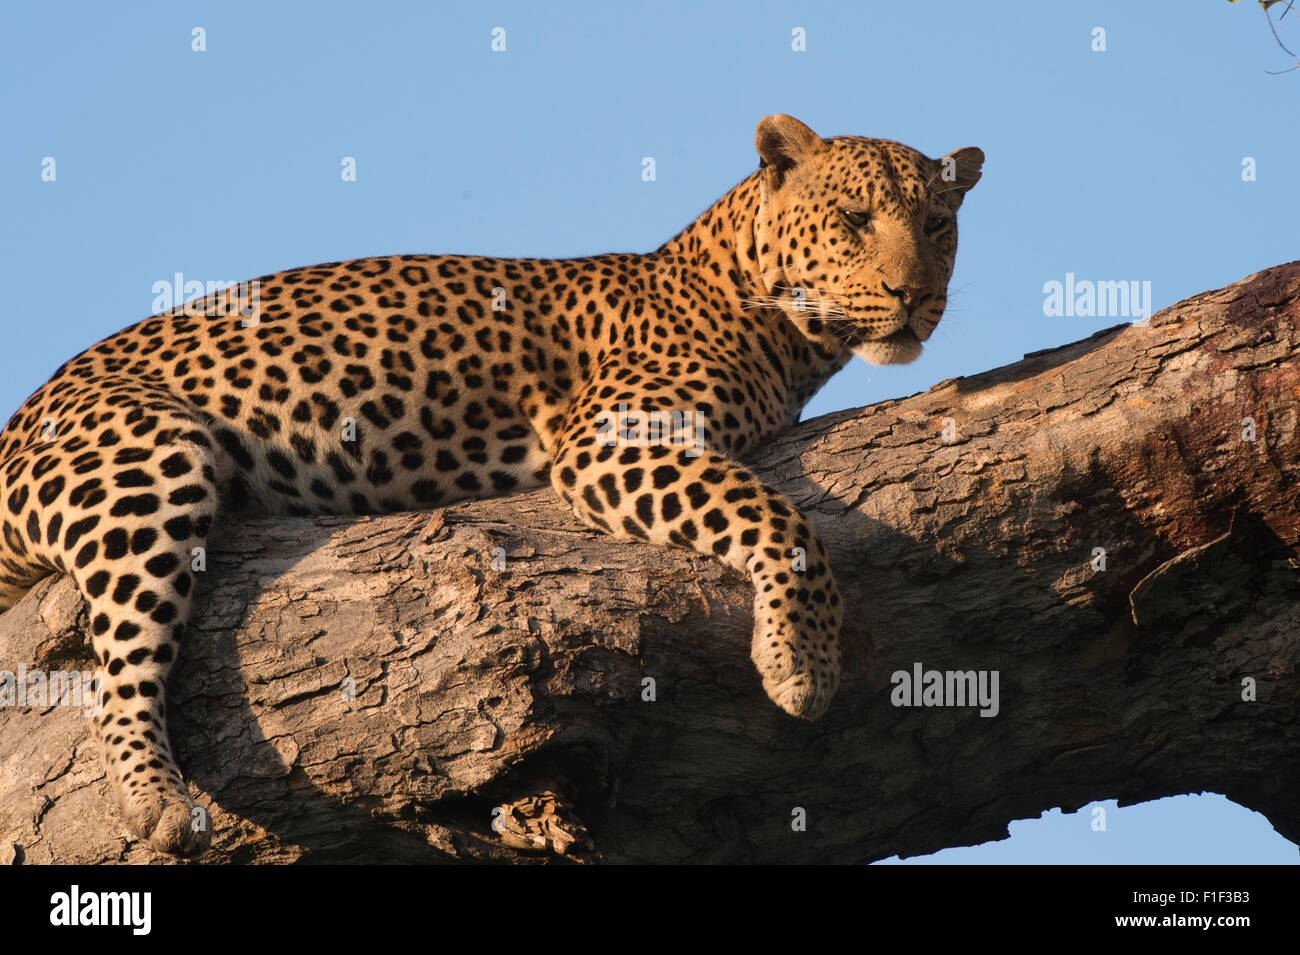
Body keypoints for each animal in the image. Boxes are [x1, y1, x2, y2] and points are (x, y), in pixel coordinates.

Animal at [0, 114, 982, 855]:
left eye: (939, 226)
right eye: (853, 217)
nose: (913, 296)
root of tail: (23, 414)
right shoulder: (616, 436)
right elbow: (780, 519)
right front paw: (799, 660)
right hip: (144, 458)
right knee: (118, 672)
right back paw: (156, 800)